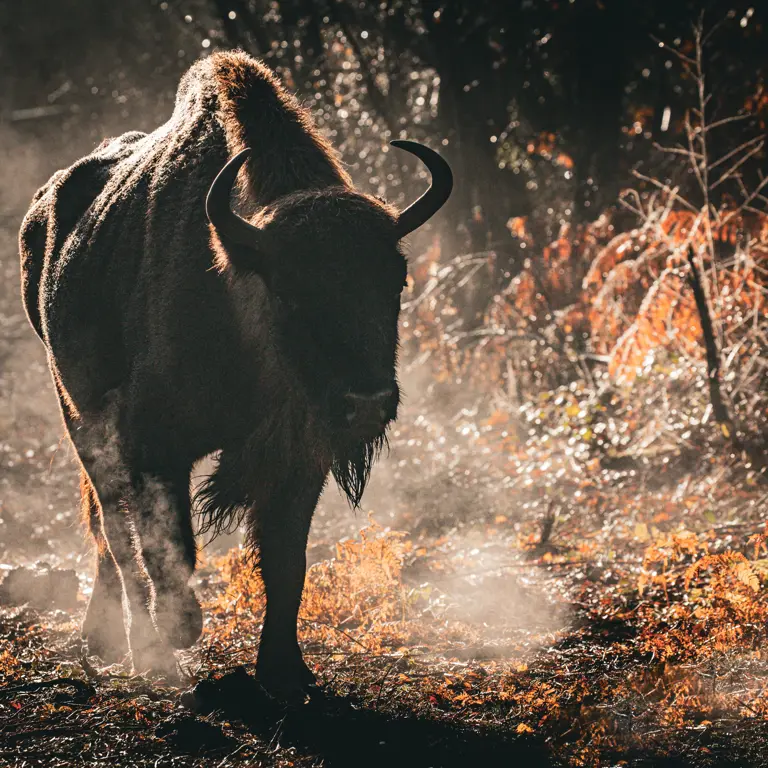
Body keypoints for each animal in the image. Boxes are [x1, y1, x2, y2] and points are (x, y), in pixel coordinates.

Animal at [18, 51, 452, 699]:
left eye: (395, 278)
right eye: (290, 289)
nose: (367, 401)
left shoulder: (300, 454)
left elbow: (286, 561)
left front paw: (286, 673)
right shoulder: (153, 446)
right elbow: (167, 549)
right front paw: (179, 636)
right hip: (79, 416)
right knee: (115, 536)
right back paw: (141, 652)